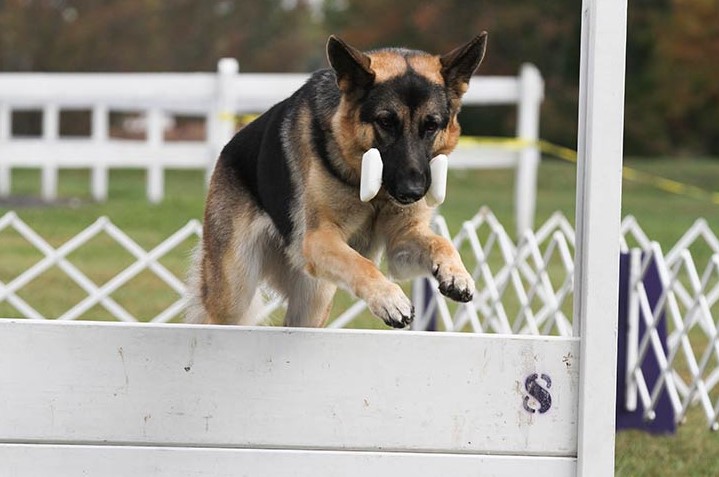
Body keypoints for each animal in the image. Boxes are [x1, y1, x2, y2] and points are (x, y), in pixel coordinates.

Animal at [187, 32, 490, 328]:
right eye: (386, 122)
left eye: (431, 125)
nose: (412, 192)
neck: (375, 193)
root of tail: (228, 147)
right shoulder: (320, 238)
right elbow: (360, 263)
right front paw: (389, 298)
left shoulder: (402, 241)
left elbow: (441, 242)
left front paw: (457, 273)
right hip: (234, 293)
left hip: (313, 299)